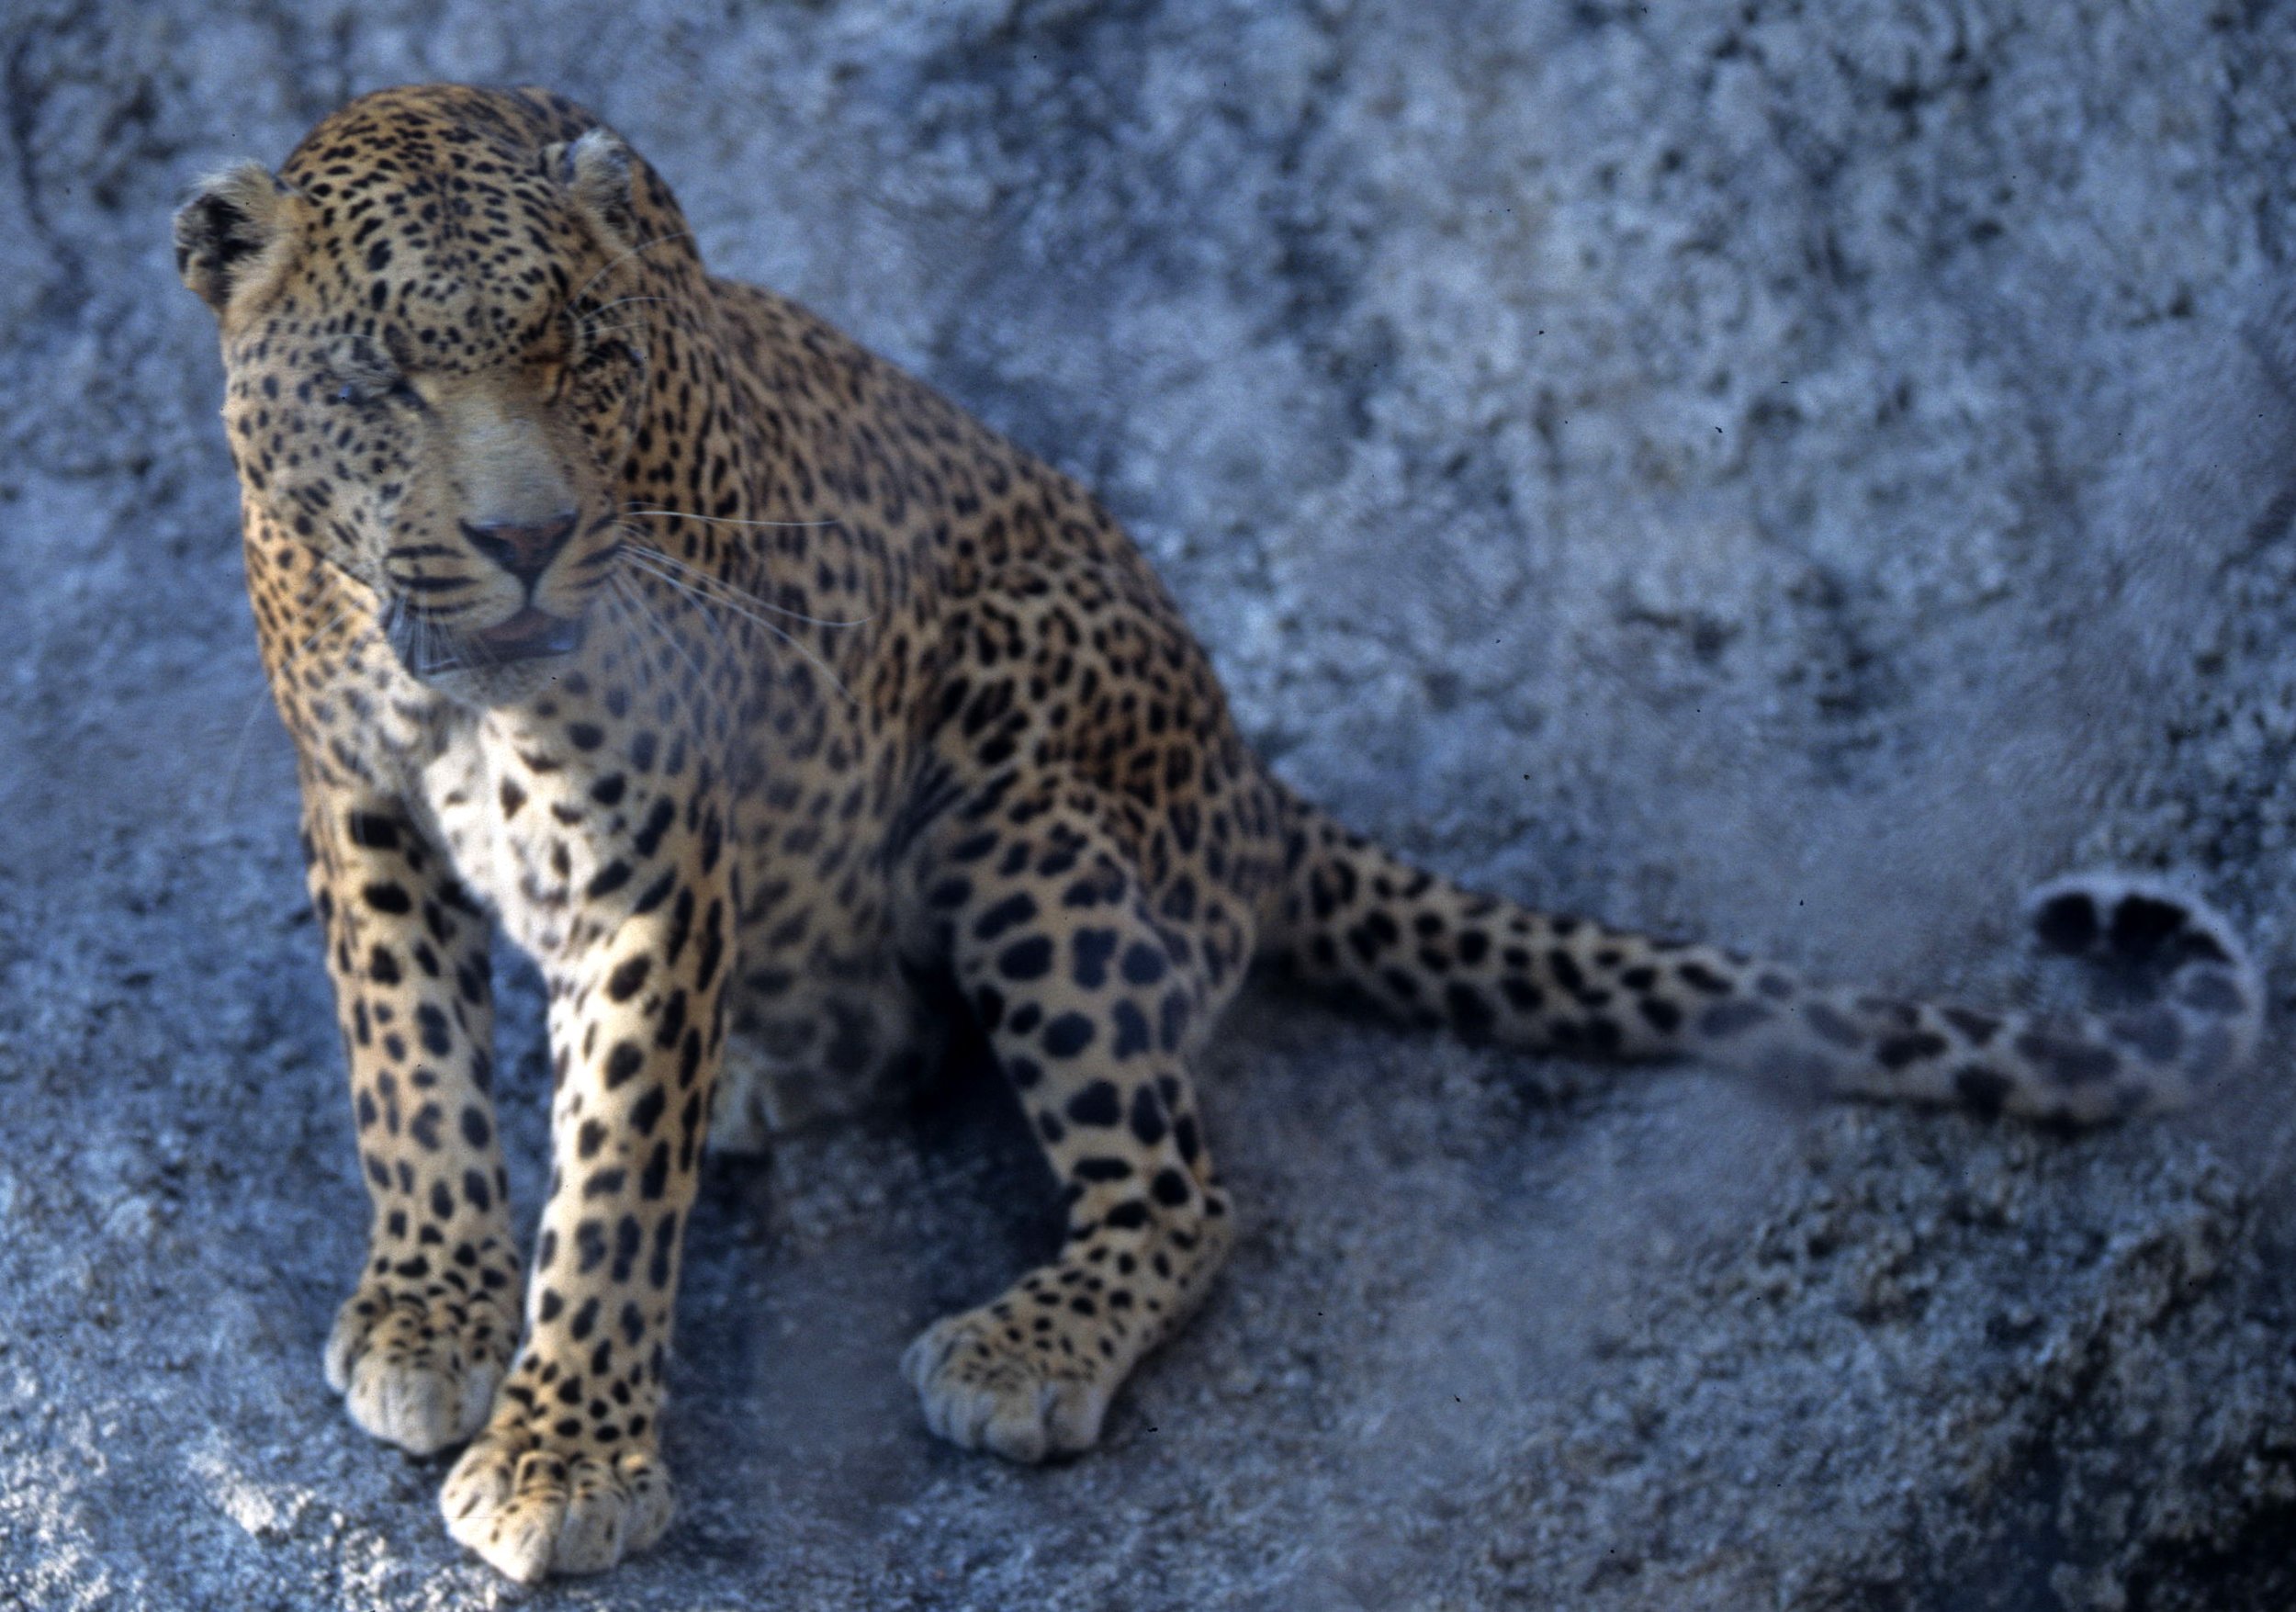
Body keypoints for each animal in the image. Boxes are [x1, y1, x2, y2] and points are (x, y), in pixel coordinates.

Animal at [173, 83, 2263, 1583]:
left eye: (583, 349)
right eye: (379, 378)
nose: (527, 538)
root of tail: (1255, 779)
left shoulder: (654, 847)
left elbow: (612, 1177)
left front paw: (563, 1453)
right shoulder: (355, 794)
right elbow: (405, 1072)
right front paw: (433, 1307)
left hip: (1023, 794)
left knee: (1184, 1187)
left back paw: (1018, 1346)